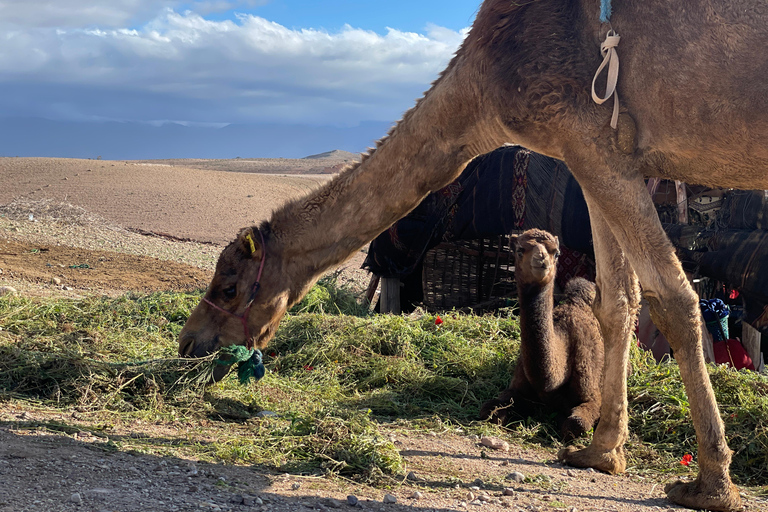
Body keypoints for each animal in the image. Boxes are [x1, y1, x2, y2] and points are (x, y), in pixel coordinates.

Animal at [476, 228, 604, 440]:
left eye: (557, 253)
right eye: (520, 250)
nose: (541, 259)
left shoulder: (593, 395)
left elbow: (575, 424)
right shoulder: (517, 386)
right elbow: (489, 410)